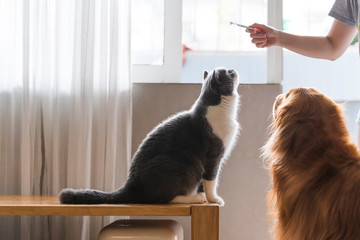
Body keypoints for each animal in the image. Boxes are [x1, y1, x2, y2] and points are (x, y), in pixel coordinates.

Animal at [58, 67, 239, 206]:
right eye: (228, 73)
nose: (234, 70)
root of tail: (131, 184)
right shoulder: (214, 157)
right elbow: (211, 180)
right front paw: (213, 199)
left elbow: (202, 183)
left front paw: (204, 196)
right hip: (174, 166)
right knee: (163, 198)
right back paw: (193, 199)